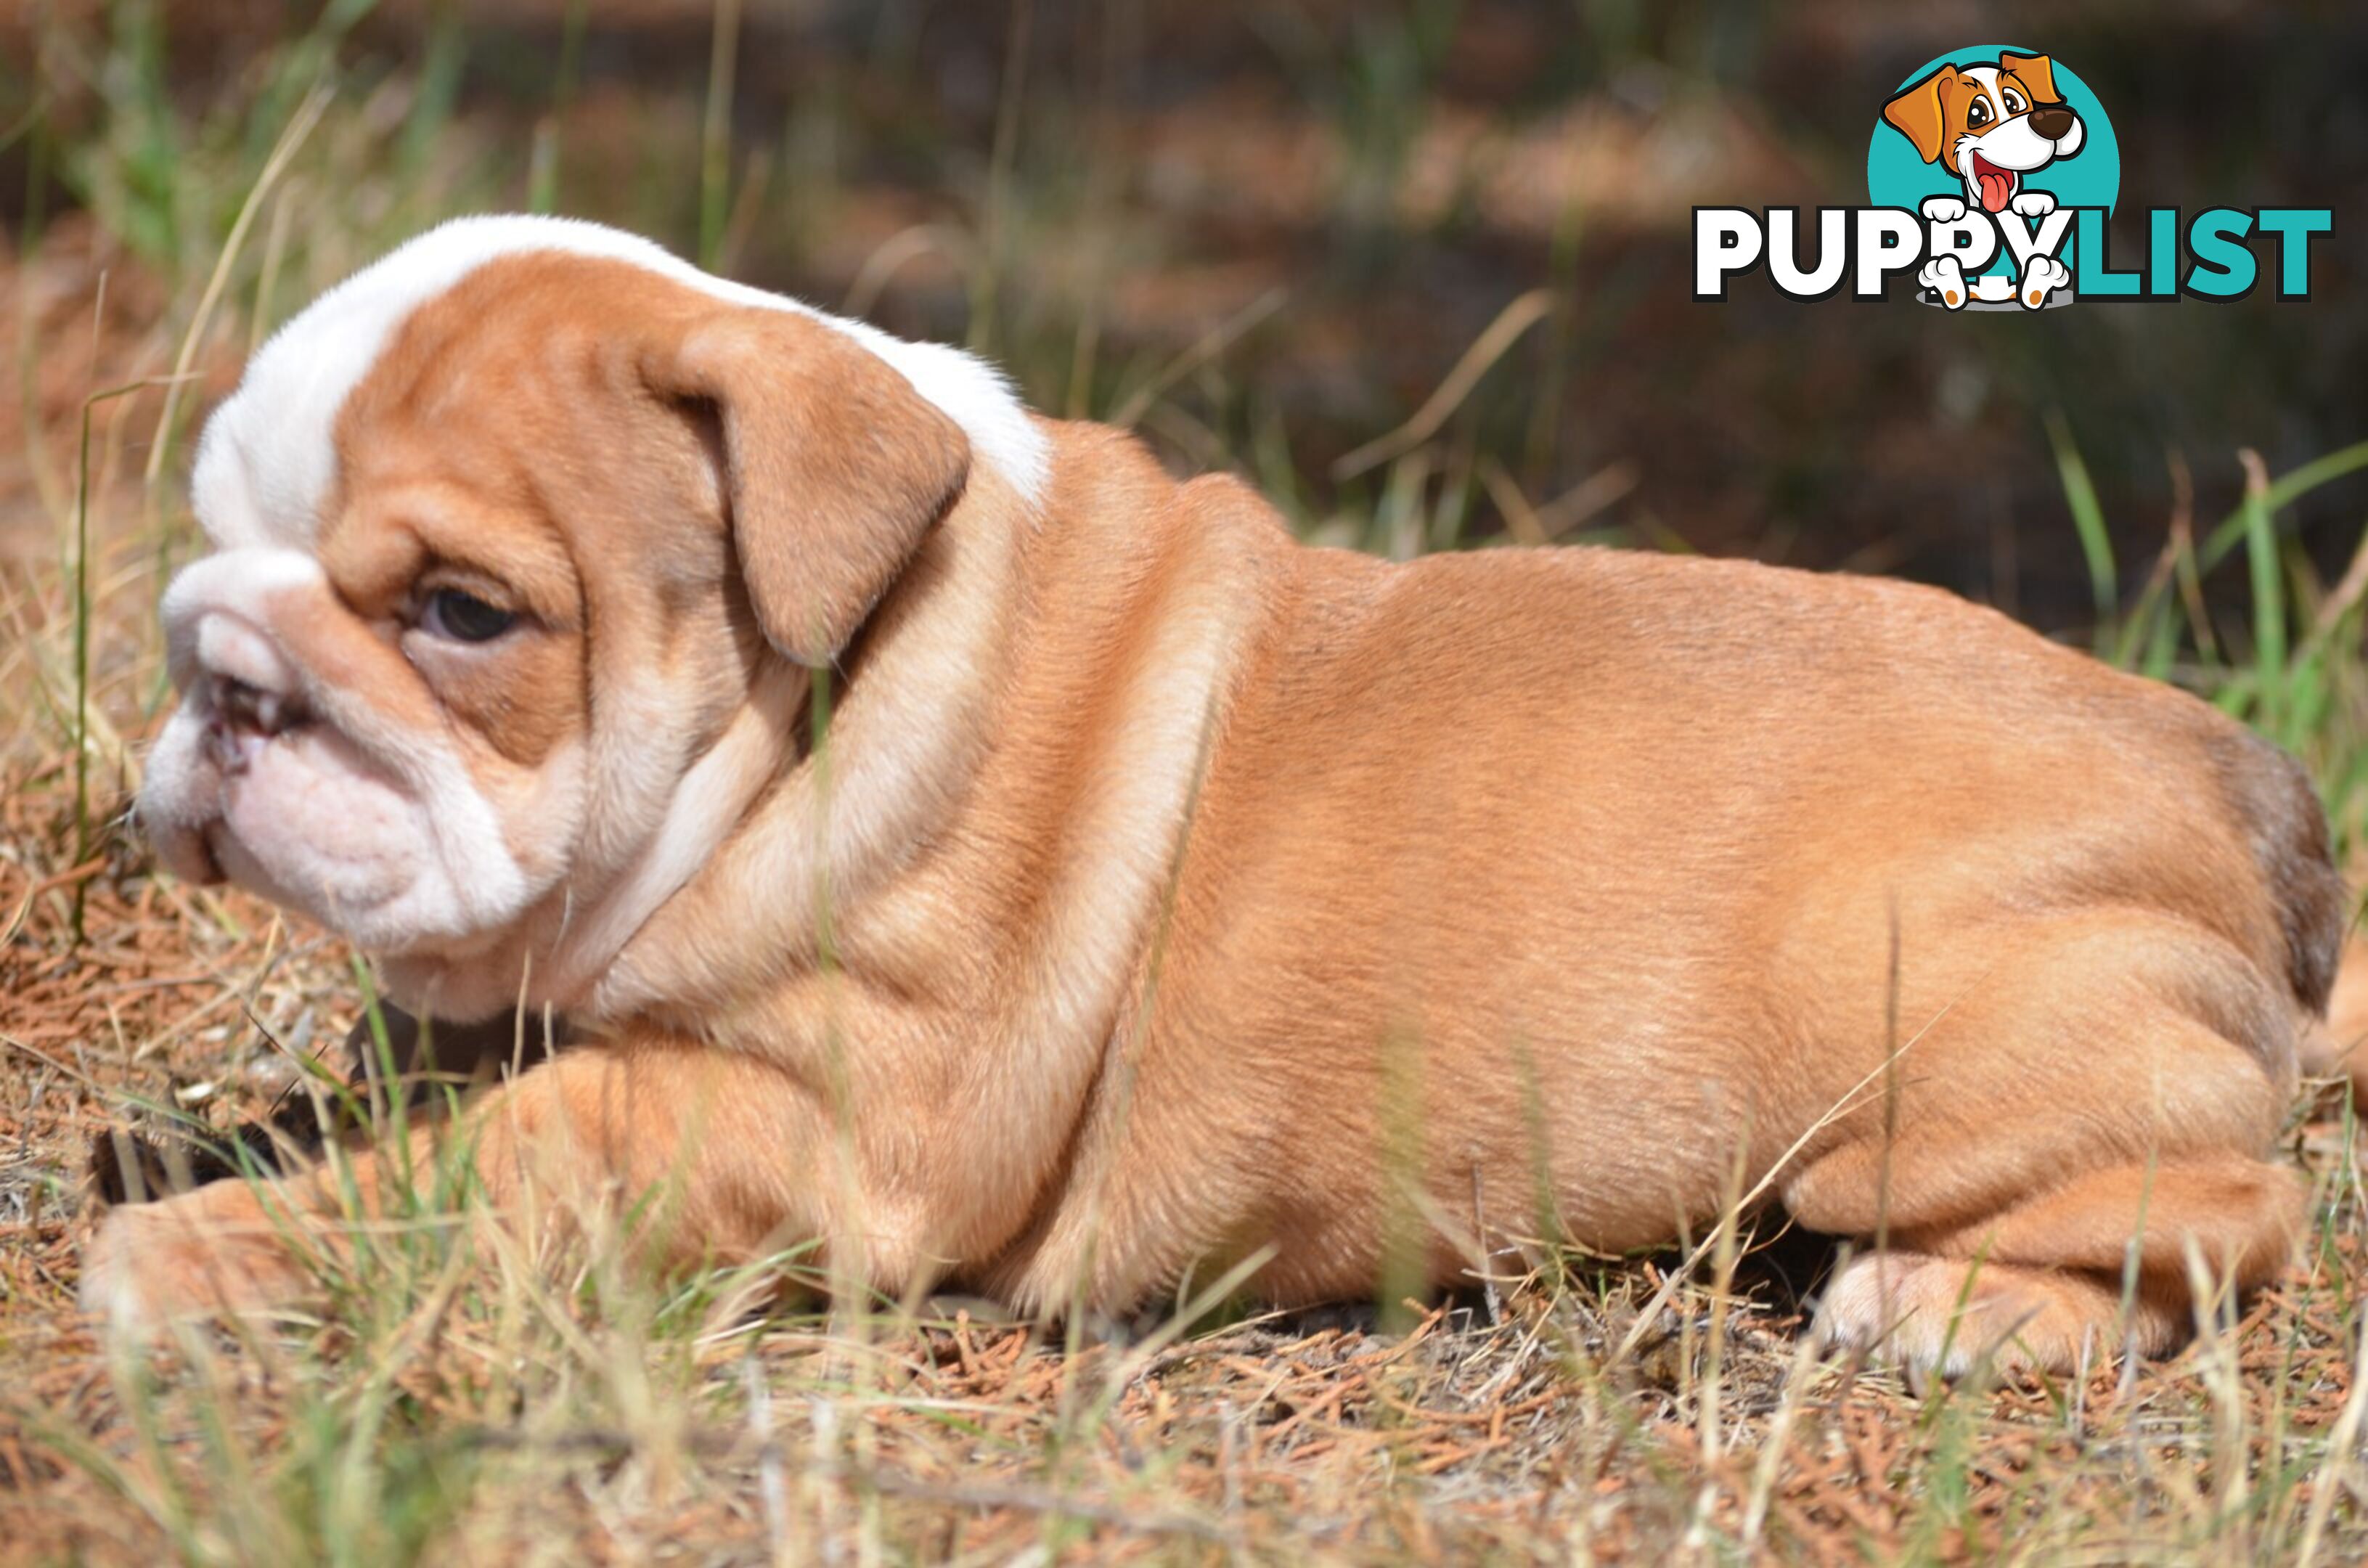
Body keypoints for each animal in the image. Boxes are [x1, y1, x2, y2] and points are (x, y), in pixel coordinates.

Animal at [83, 215, 2339, 1373]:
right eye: (203, 537)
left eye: (463, 613)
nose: (225, 679)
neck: (820, 692)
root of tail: (2220, 768)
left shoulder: (790, 1124)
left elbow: (474, 1172)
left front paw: (182, 1253)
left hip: (1905, 1055)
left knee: (2234, 1205)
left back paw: (1951, 1305)